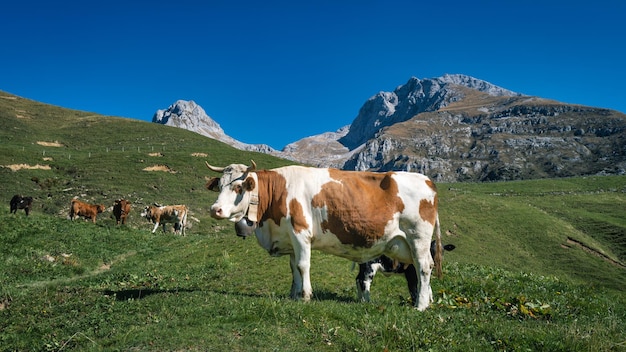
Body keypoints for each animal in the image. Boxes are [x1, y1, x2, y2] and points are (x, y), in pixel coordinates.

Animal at [205, 161, 438, 310]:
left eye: (238, 187)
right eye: (219, 185)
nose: (215, 210)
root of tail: (427, 180)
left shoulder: (300, 232)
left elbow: (303, 265)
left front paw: (306, 296)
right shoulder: (290, 238)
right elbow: (293, 267)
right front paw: (294, 295)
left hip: (418, 237)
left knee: (424, 267)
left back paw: (420, 305)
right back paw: (428, 301)